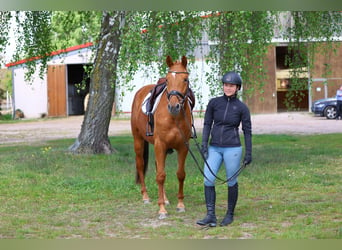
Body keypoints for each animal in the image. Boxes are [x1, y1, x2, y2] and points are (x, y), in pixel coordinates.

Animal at [131, 56, 194, 219]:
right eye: (167, 79)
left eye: (185, 79)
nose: (173, 106)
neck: (174, 118)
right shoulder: (160, 144)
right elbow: (160, 176)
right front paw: (162, 210)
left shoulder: (183, 147)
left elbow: (180, 174)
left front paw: (180, 205)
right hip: (138, 141)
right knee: (141, 165)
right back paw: (146, 196)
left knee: (158, 166)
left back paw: (165, 199)